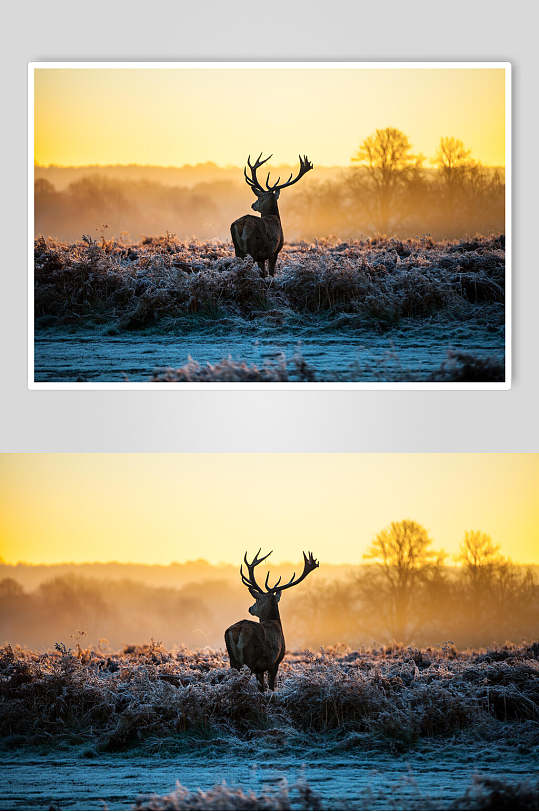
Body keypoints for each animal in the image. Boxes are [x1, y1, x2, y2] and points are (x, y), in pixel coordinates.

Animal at [224, 549, 319, 691]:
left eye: (257, 599)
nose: (250, 608)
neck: (276, 623)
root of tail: (238, 630)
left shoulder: (262, 668)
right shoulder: (274, 662)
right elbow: (270, 686)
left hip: (233, 661)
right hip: (250, 659)